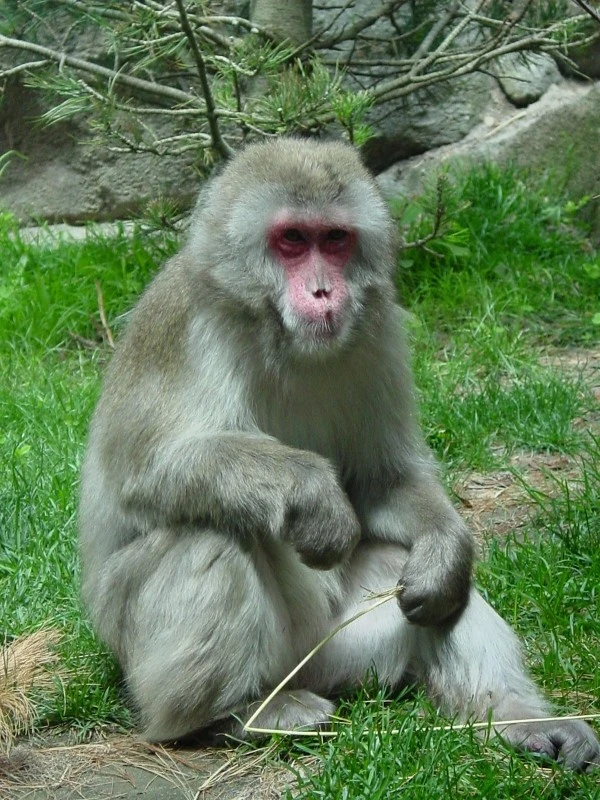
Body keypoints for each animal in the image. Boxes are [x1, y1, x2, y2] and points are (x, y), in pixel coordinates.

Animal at [79, 136, 600, 768]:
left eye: (334, 239)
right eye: (291, 240)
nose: (325, 291)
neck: (275, 333)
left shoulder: (378, 334)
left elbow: (383, 479)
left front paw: (445, 552)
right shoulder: (181, 324)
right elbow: (144, 472)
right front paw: (312, 490)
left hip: (335, 651)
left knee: (412, 575)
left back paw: (515, 714)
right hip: (145, 642)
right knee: (211, 534)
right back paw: (230, 714)